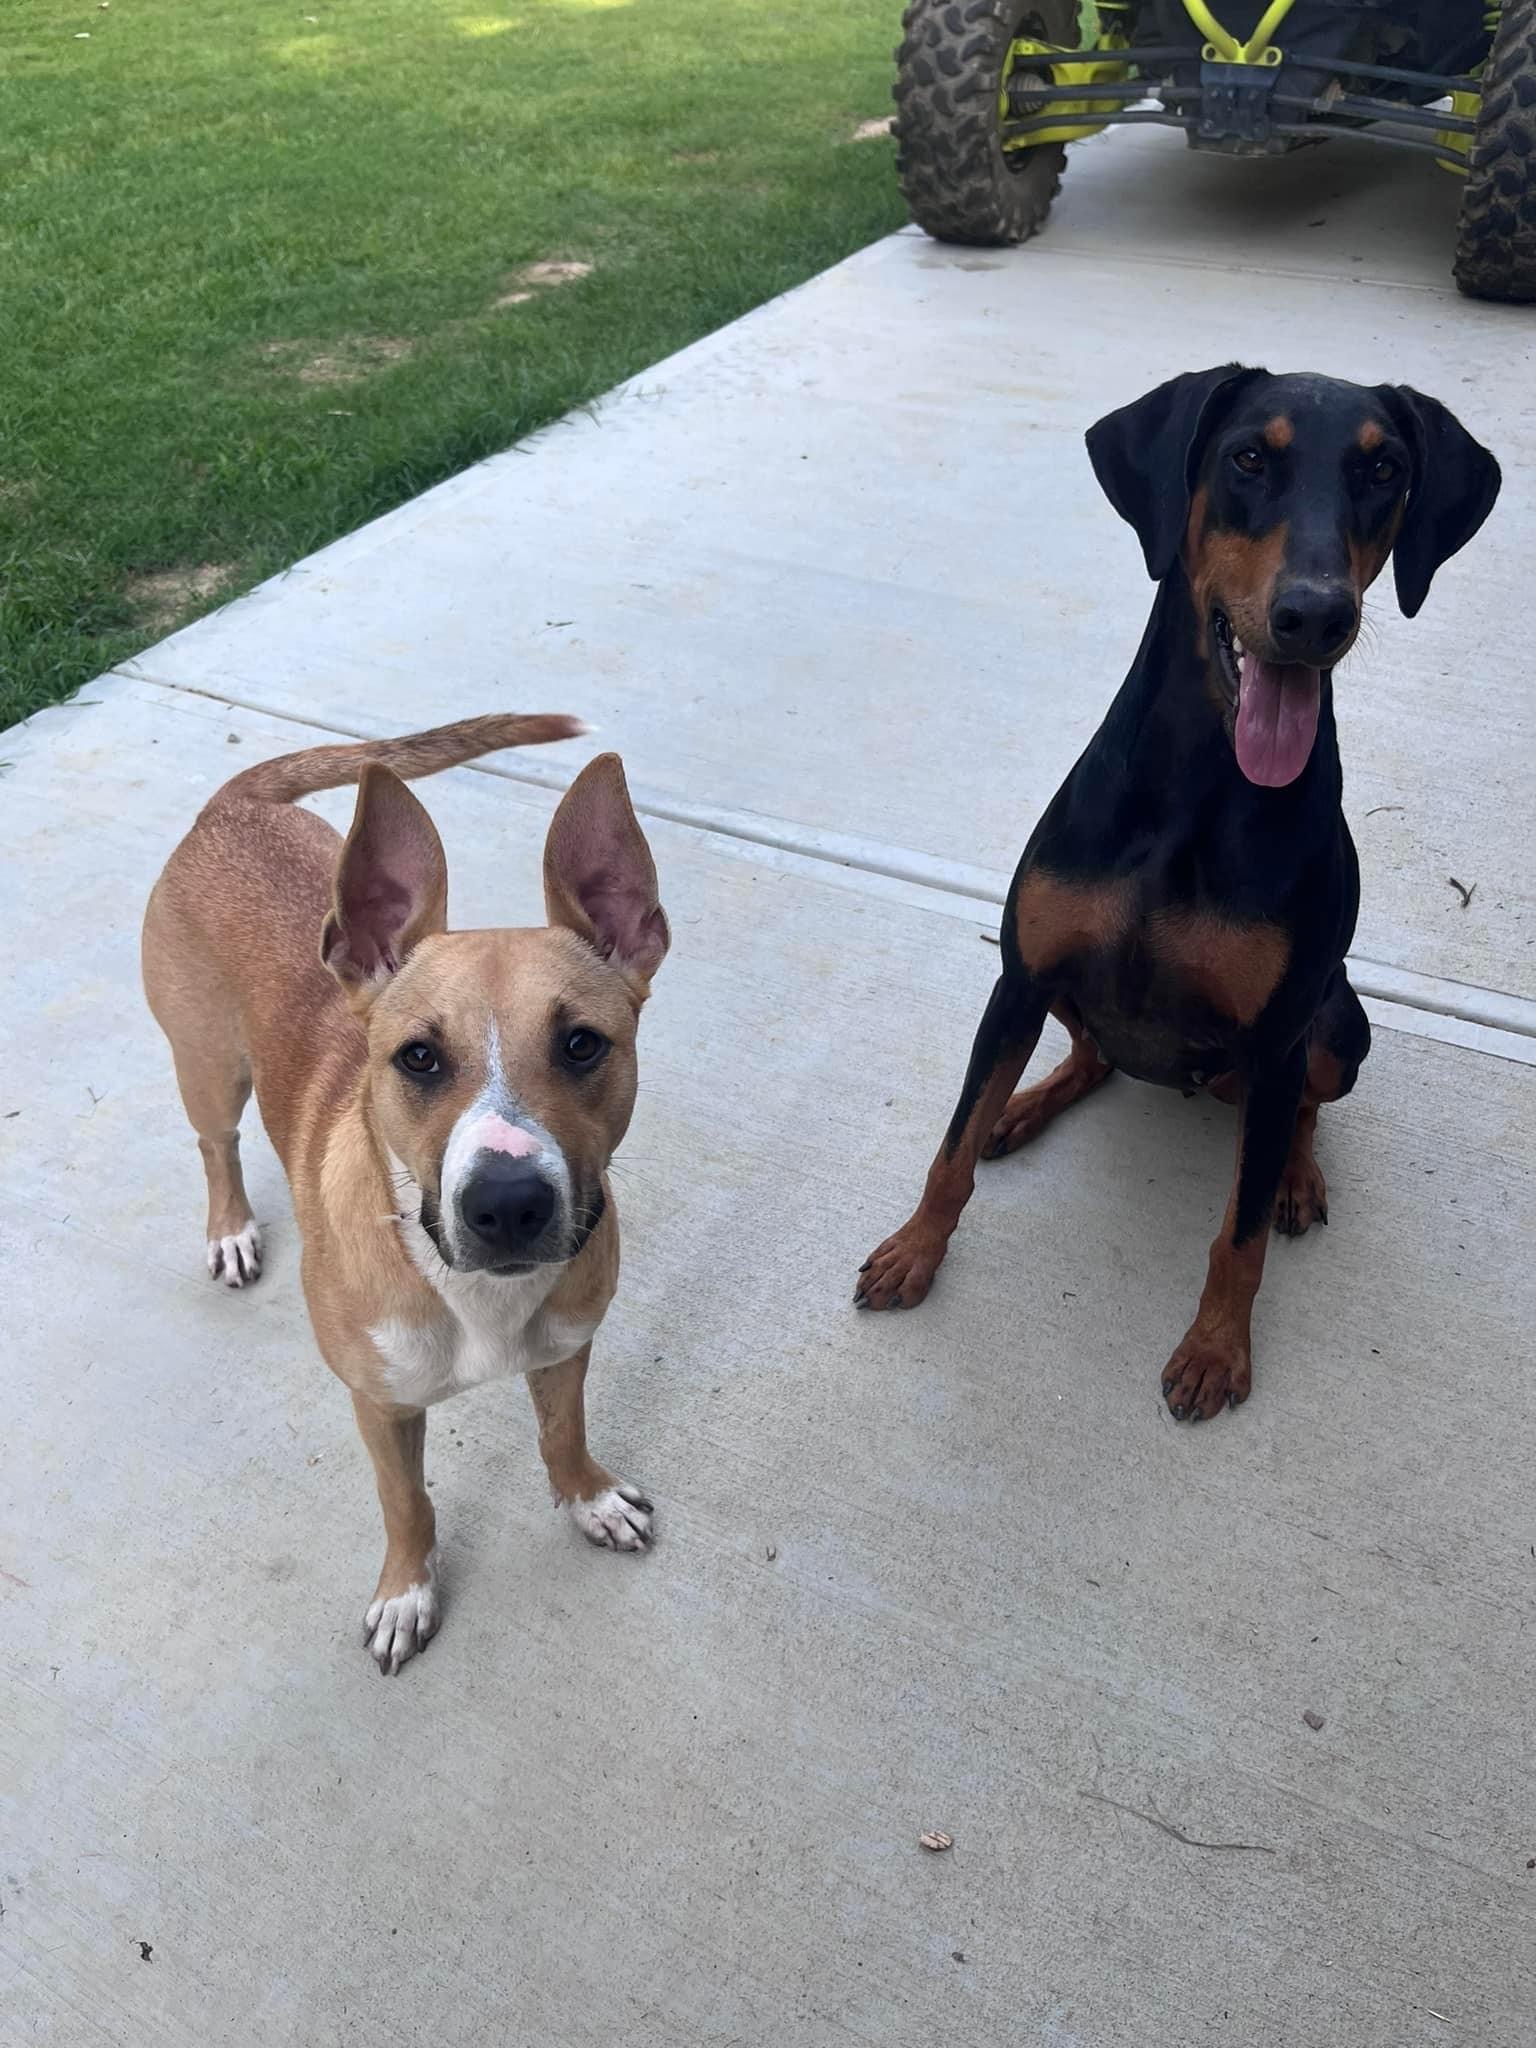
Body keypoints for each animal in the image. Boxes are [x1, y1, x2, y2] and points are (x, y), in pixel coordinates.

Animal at [143, 712, 667, 1671]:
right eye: (418, 1057)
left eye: (582, 1044)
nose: (508, 1205)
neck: (474, 1295)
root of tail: (234, 805)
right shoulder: (380, 1406)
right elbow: (407, 1502)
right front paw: (404, 1593)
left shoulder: (568, 1350)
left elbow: (562, 1432)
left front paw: (588, 1497)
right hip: (206, 1065)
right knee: (216, 1144)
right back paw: (230, 1226)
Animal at [856, 368, 1507, 1417]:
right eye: (1247, 457)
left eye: (1384, 470)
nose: (1315, 615)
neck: (1198, 783)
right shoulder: (1018, 980)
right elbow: (950, 1153)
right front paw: (916, 1251)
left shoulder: (1280, 1037)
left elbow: (1238, 1236)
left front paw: (1215, 1349)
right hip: (1071, 993)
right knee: (1095, 1057)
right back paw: (1021, 1108)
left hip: (1337, 1027)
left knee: (1299, 1115)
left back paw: (1294, 1178)